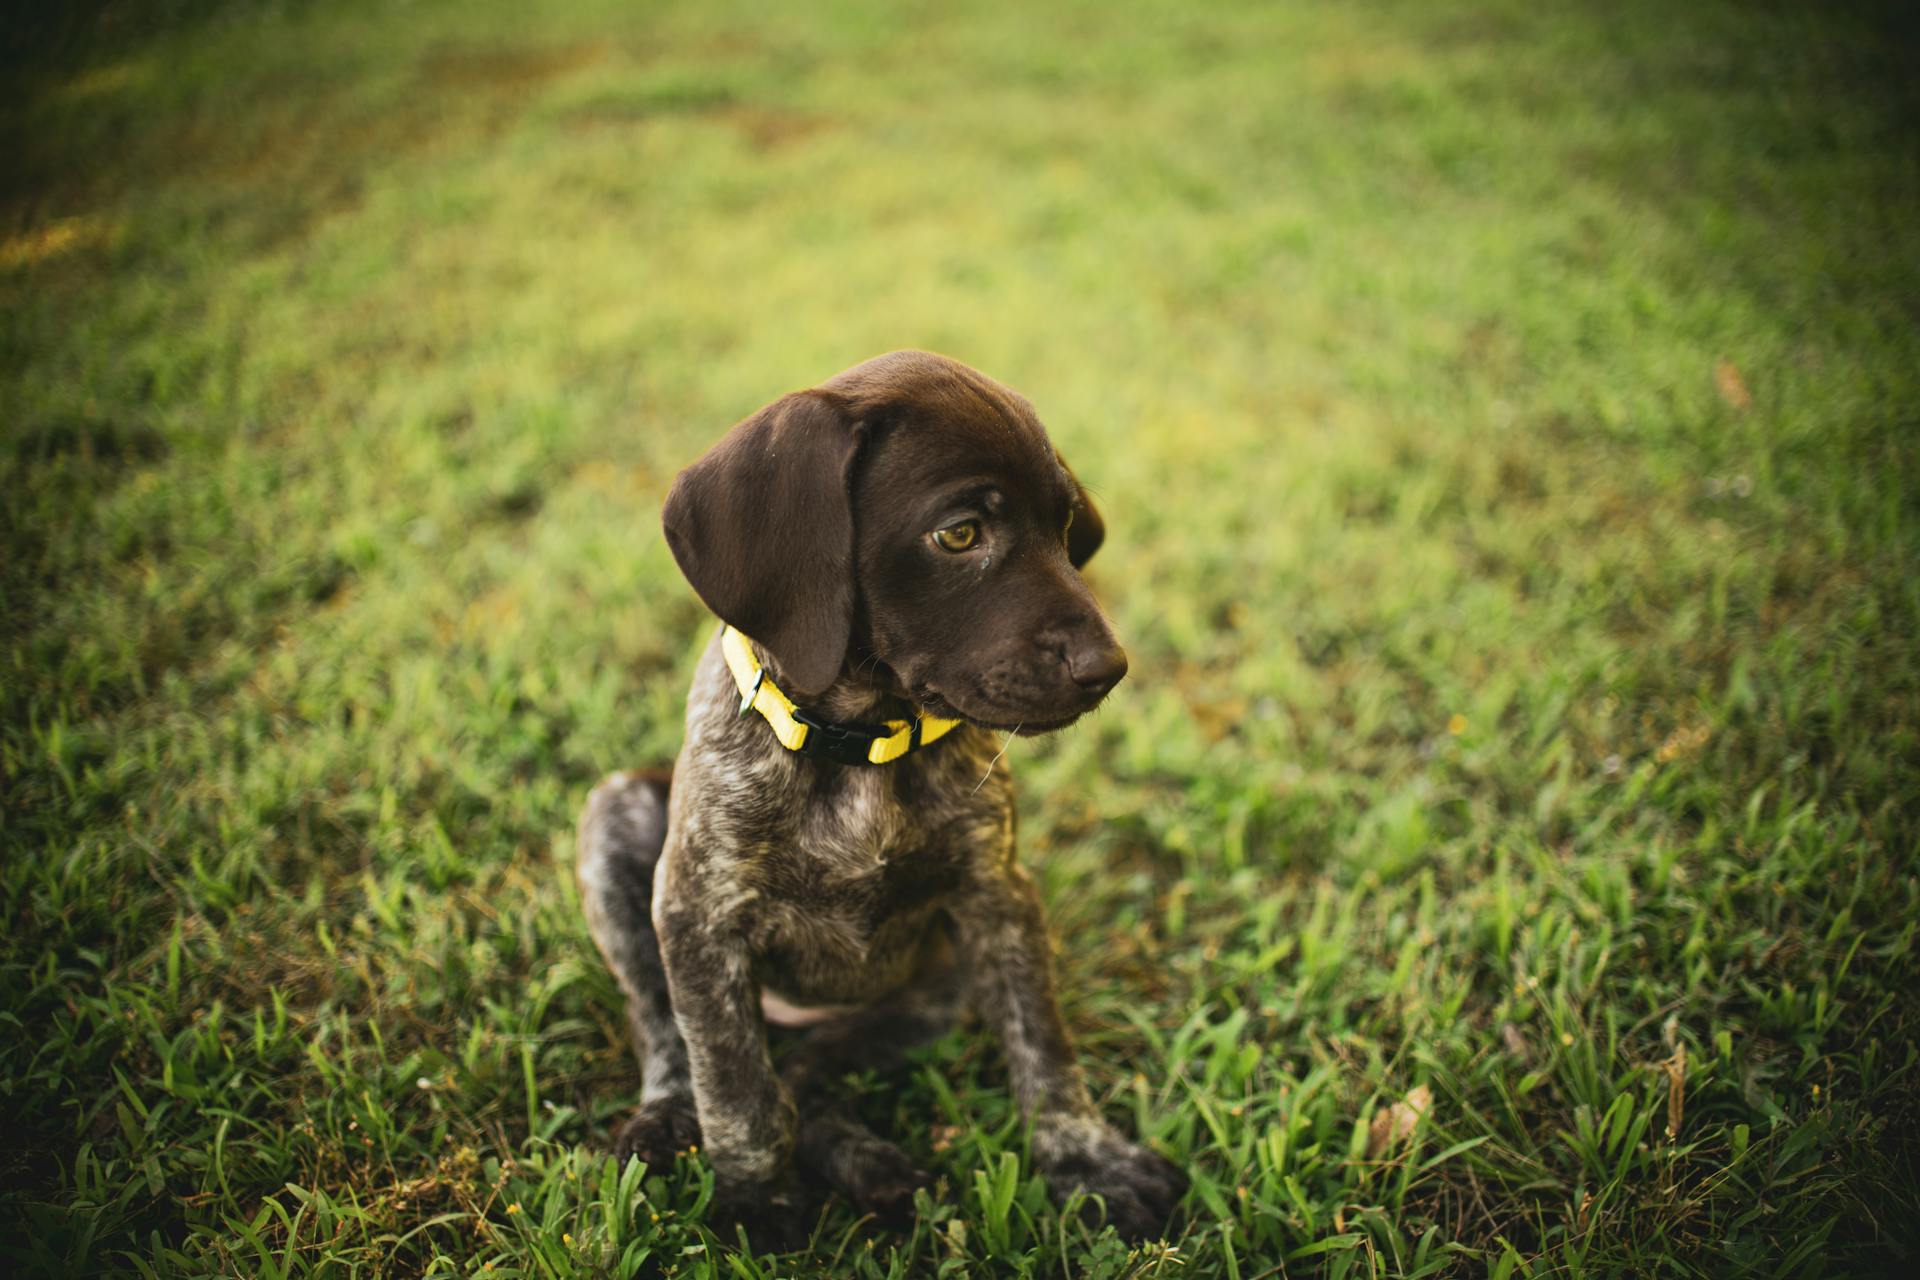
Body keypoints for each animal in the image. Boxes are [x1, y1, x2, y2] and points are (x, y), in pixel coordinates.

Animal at [576, 353, 1190, 1251]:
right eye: (959, 534)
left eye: (1065, 525)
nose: (1107, 668)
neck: (858, 743)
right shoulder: (698, 918)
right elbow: (734, 1086)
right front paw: (756, 1202)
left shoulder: (996, 899)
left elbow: (1042, 1045)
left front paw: (1089, 1160)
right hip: (616, 821)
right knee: (671, 1033)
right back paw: (669, 1119)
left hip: (925, 1001)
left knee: (804, 1075)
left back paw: (873, 1166)